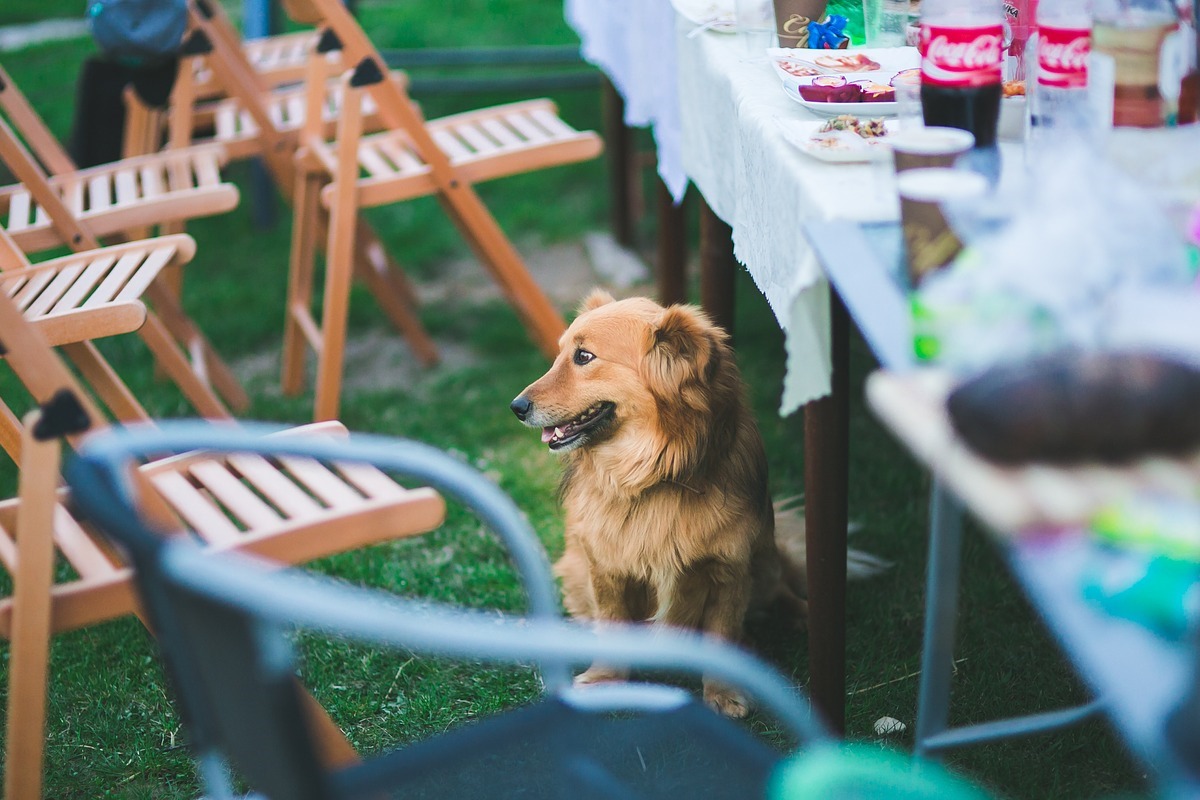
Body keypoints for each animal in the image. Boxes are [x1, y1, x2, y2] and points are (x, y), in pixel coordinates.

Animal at [511, 291, 811, 714]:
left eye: (583, 357)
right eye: (560, 355)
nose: (516, 407)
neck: (652, 472)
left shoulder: (729, 570)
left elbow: (722, 633)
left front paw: (723, 691)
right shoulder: (607, 568)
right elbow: (612, 624)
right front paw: (605, 679)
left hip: (764, 564)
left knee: (781, 587)